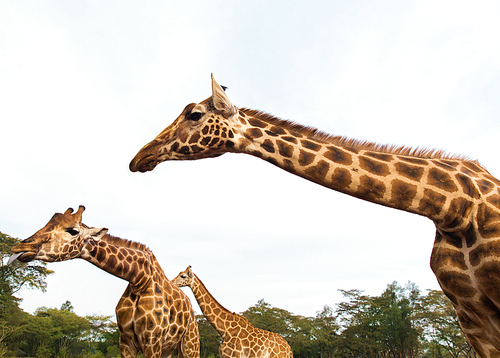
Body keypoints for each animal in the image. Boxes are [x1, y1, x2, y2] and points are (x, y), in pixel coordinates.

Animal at [8, 206, 200, 358]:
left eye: (73, 231)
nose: (20, 247)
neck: (139, 279)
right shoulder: (125, 341)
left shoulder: (152, 340)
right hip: (169, 348)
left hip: (190, 344)